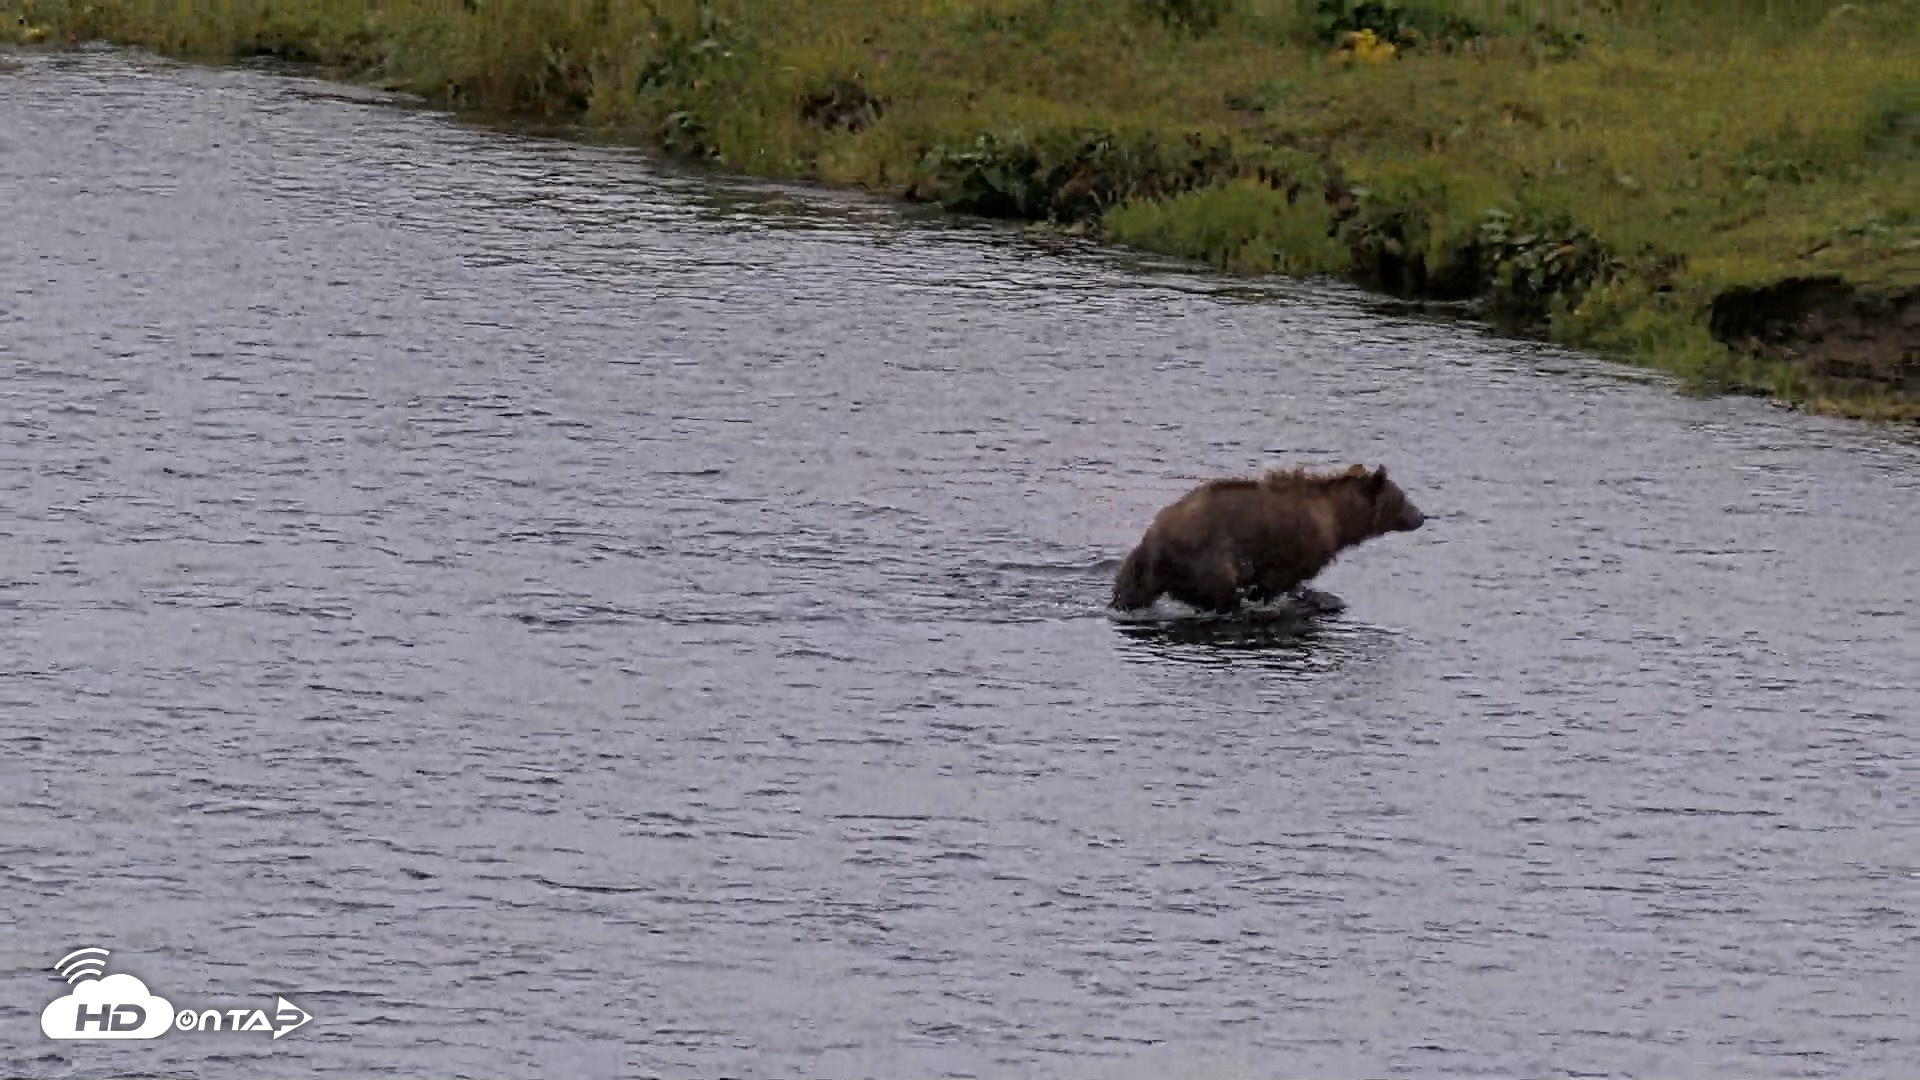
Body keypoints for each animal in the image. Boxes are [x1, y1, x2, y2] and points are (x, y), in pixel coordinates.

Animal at [1110, 464, 1425, 615]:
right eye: (1403, 497)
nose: (1422, 516)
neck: (1337, 517)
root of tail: (1153, 538)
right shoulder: (1301, 544)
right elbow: (1282, 579)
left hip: (1140, 568)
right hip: (1204, 555)